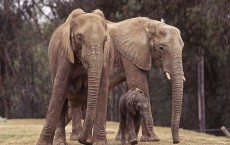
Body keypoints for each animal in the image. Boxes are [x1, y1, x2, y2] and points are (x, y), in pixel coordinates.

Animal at [36, 8, 112, 144]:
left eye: (105, 40)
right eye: (79, 38)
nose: (84, 141)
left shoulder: (106, 56)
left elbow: (102, 91)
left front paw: (100, 143)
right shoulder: (64, 53)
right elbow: (59, 90)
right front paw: (42, 143)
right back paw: (60, 142)